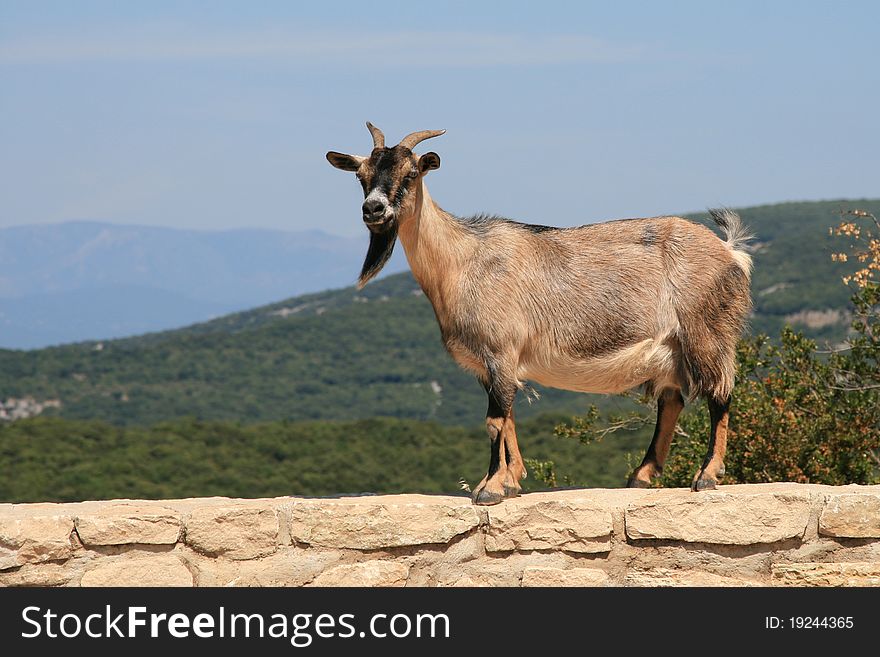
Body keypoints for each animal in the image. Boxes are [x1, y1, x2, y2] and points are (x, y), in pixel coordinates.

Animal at [326, 121, 752, 502]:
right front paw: (511, 481)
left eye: (411, 173)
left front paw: (491, 489)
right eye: (361, 175)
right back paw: (640, 477)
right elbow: (507, 418)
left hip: (707, 330)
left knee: (719, 394)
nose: (373, 209)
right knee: (672, 401)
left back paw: (706, 476)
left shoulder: (500, 350)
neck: (461, 260)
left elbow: (494, 420)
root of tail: (730, 250)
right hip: (672, 349)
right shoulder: (493, 364)